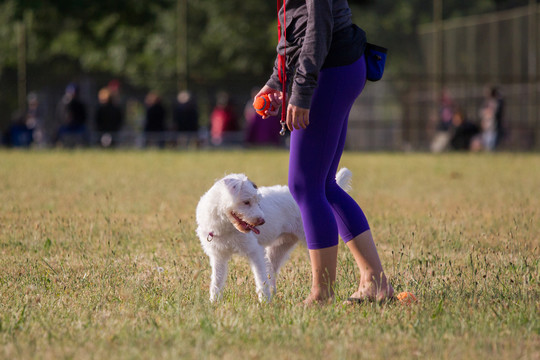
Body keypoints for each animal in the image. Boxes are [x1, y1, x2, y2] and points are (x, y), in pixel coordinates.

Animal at [196, 168, 352, 300]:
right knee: (272, 272)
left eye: (257, 201)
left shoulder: (255, 251)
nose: (262, 221)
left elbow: (260, 278)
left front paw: (264, 302)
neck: (225, 227)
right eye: (246, 202)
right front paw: (214, 302)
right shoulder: (218, 256)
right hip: (279, 248)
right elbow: (217, 281)